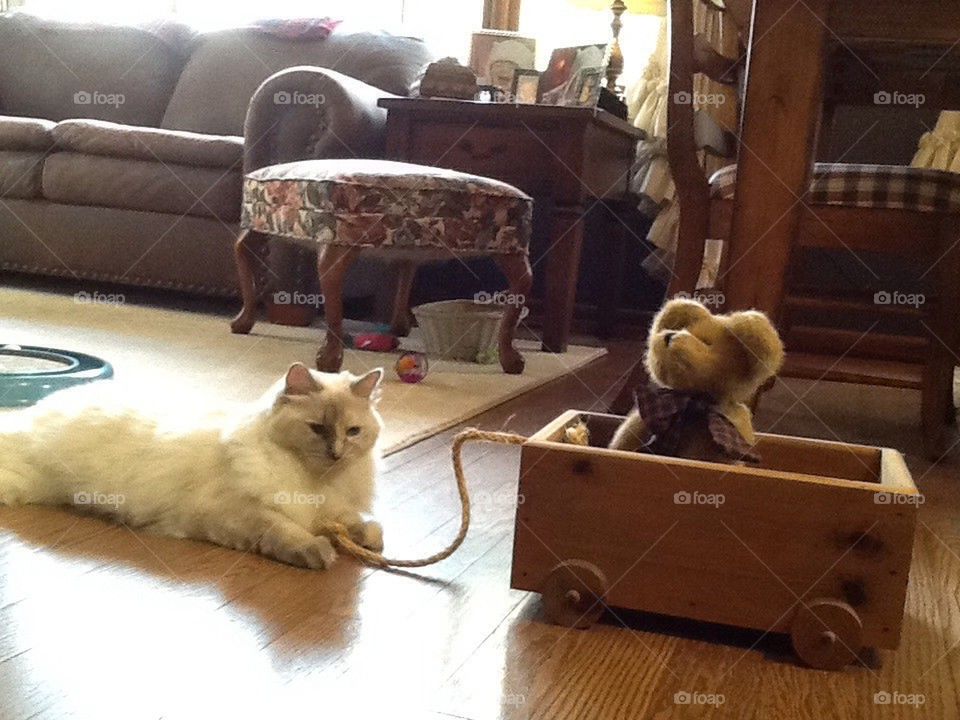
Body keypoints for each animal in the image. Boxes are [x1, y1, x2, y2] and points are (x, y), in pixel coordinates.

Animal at [0, 362, 382, 572]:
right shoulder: (239, 512)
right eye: (317, 429)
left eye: (352, 432)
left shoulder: (331, 510)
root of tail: (36, 411)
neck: (315, 481)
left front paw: (368, 541)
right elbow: (285, 529)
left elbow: (361, 525)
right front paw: (319, 551)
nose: (336, 454)